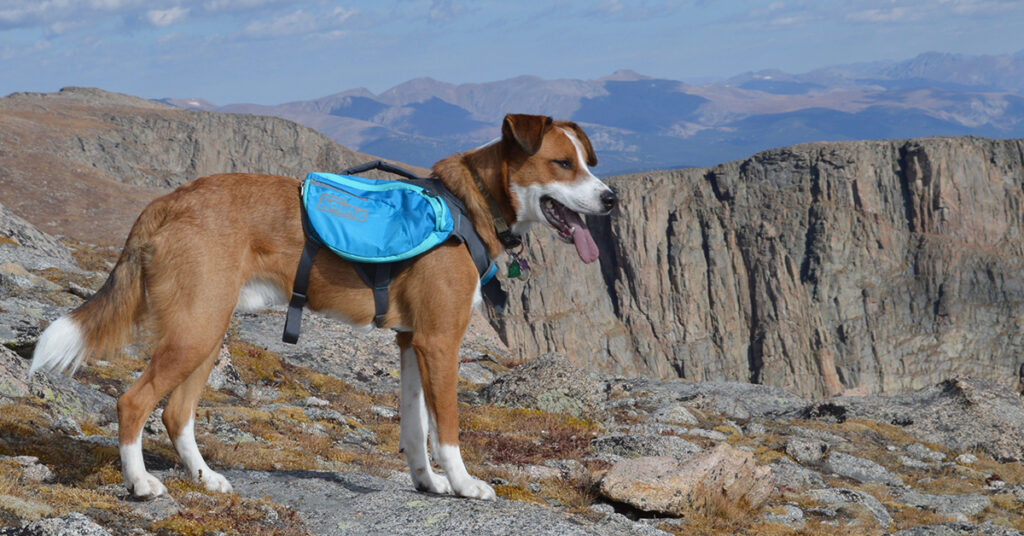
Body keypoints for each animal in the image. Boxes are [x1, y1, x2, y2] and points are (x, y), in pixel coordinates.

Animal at [28, 113, 614, 504]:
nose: (610, 199)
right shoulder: (440, 341)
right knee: (133, 402)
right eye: (562, 164)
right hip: (194, 332)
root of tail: (168, 201)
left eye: (587, 162)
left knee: (175, 412)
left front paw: (428, 483)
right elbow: (446, 428)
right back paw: (140, 482)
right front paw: (465, 484)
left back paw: (205, 478)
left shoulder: (411, 341)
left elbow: (414, 428)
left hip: (206, 330)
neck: (469, 207)